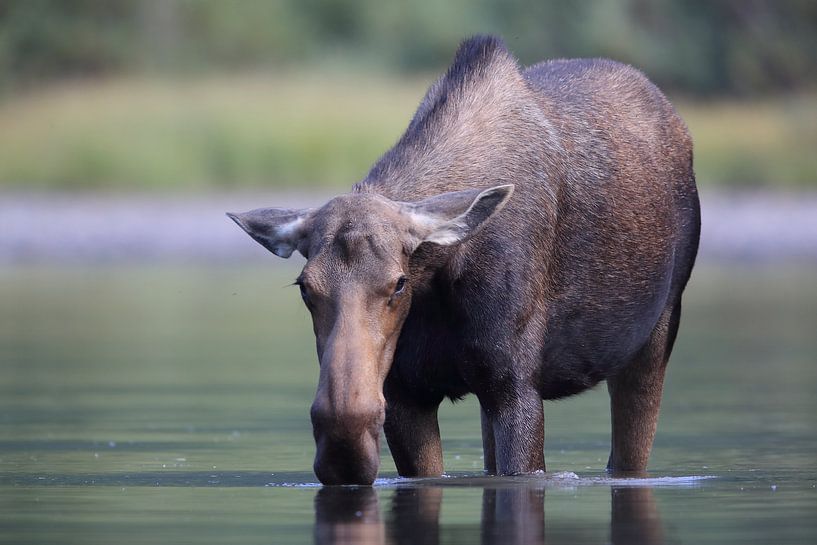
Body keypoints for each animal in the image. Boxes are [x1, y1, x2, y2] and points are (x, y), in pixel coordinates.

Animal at [228, 35, 700, 485]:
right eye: (305, 287)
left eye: (399, 283)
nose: (344, 445)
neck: (439, 280)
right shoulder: (405, 394)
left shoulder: (516, 388)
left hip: (654, 335)